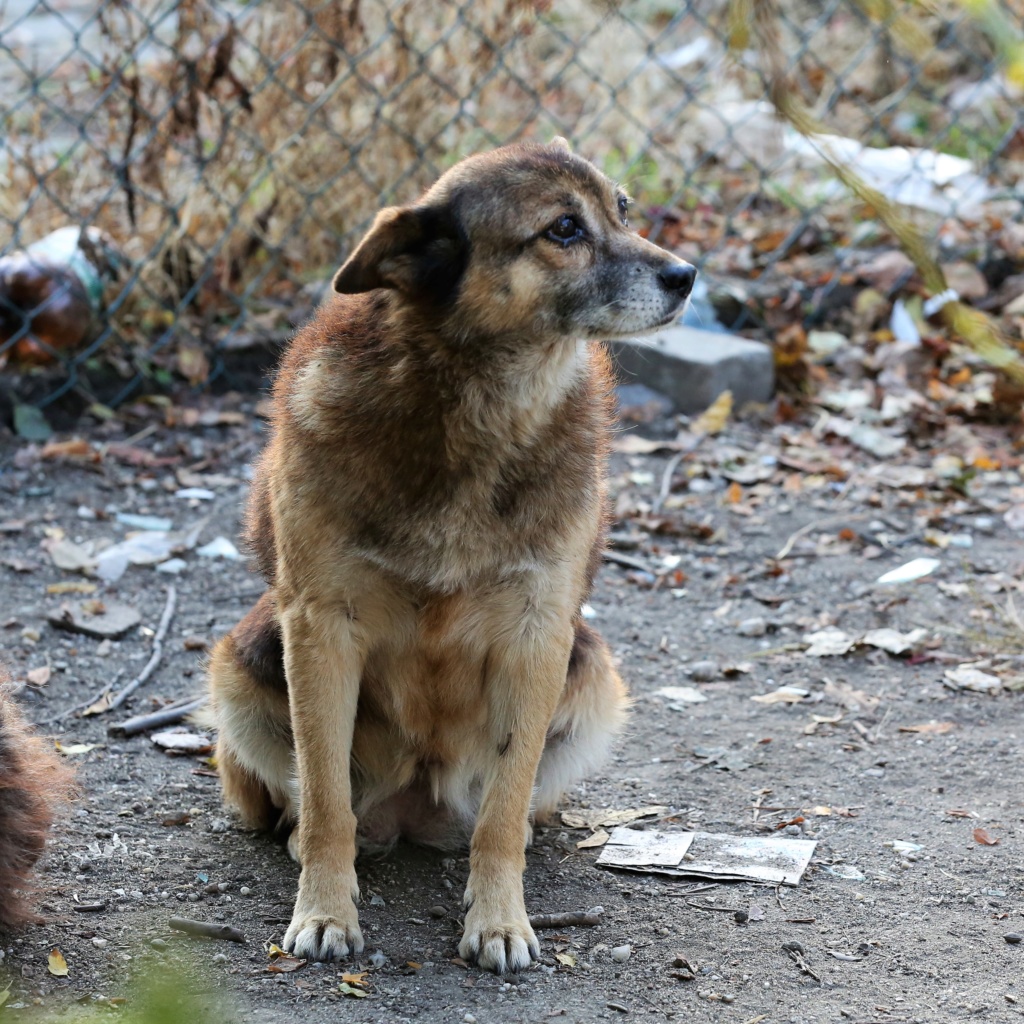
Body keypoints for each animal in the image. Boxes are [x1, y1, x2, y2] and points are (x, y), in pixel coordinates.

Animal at [209, 140, 696, 970]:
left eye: (623, 211)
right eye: (564, 229)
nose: (688, 275)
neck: (477, 404)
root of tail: (413, 810)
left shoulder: (539, 635)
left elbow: (502, 811)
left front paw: (499, 919)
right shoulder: (320, 628)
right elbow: (327, 798)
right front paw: (325, 909)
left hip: (592, 670)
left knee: (510, 803)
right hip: (243, 659)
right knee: (307, 800)